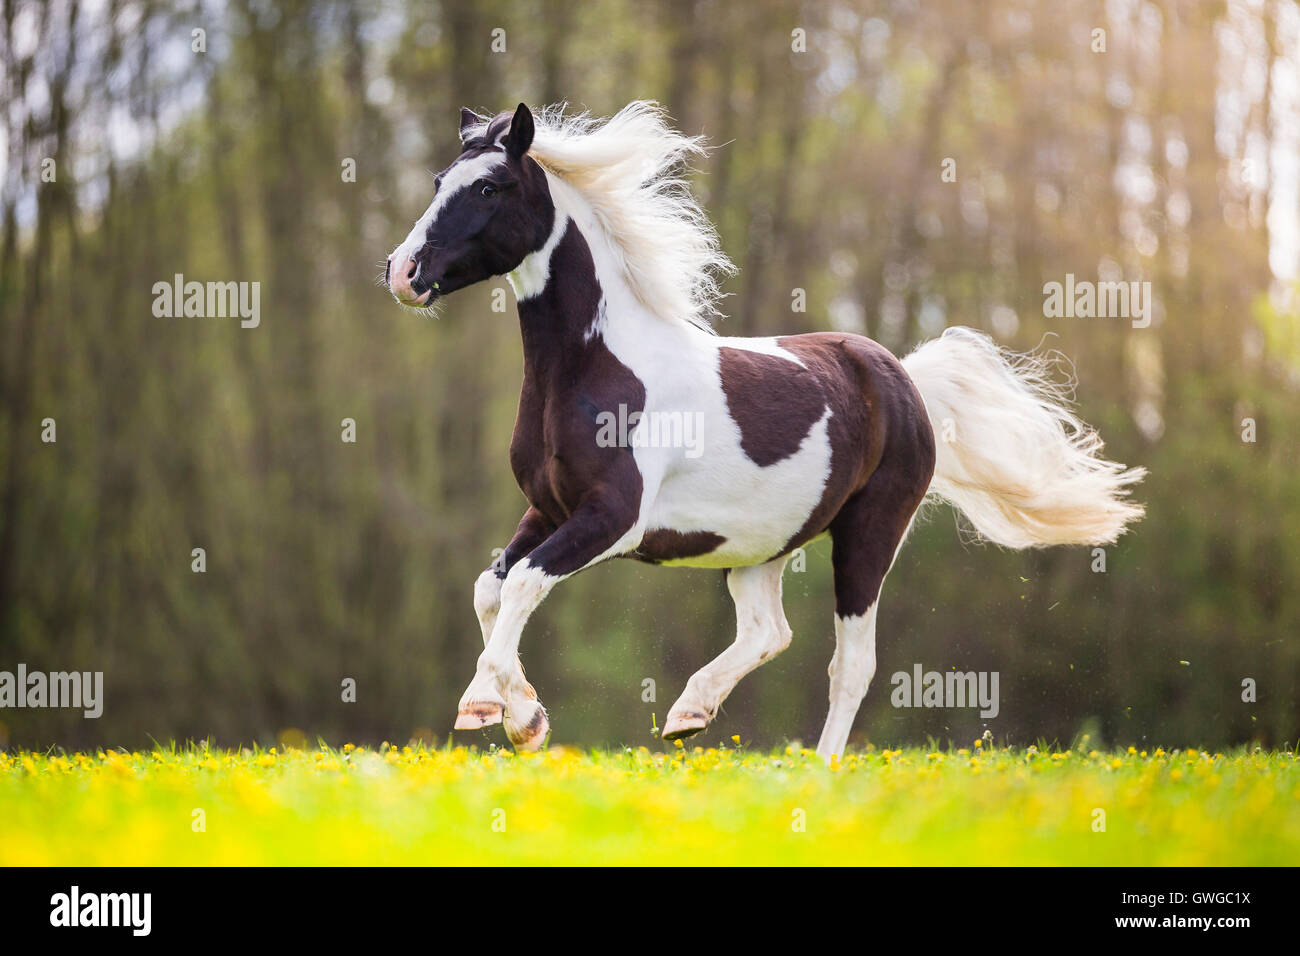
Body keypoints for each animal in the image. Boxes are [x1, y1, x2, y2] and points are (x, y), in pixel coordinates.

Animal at [379, 100, 1144, 764]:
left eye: (489, 186)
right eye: (439, 182)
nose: (402, 272)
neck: (597, 367)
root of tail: (904, 379)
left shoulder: (613, 518)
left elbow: (522, 586)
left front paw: (503, 714)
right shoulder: (546, 508)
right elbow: (490, 588)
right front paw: (513, 713)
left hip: (869, 535)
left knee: (851, 663)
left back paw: (819, 768)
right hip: (759, 548)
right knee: (769, 631)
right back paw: (688, 713)